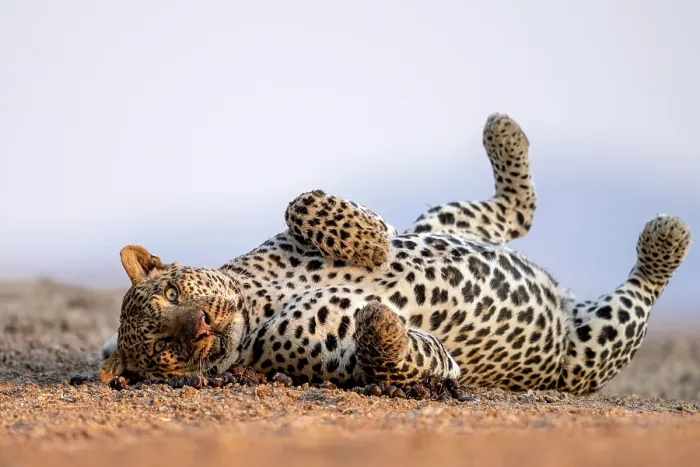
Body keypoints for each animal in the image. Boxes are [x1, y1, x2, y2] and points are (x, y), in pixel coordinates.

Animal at [100, 113, 692, 395]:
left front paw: (369, 242)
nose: (199, 325)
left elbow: (302, 201)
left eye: (173, 289)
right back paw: (667, 237)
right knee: (639, 290)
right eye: (165, 352)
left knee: (511, 212)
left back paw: (504, 135)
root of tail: (564, 298)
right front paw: (384, 323)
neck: (258, 301)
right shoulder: (366, 362)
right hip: (593, 348)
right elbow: (394, 352)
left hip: (437, 224)